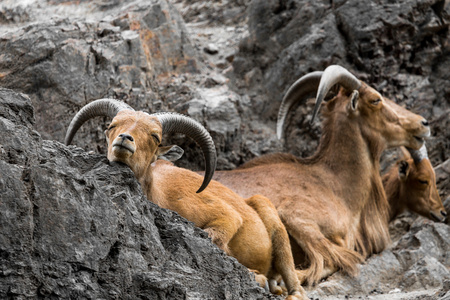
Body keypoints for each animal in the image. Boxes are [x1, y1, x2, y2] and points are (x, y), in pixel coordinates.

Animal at [65, 100, 308, 300]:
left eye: (155, 136)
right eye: (111, 126)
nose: (125, 138)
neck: (160, 194)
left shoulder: (225, 215)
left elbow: (217, 235)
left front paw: (254, 275)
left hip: (274, 223)